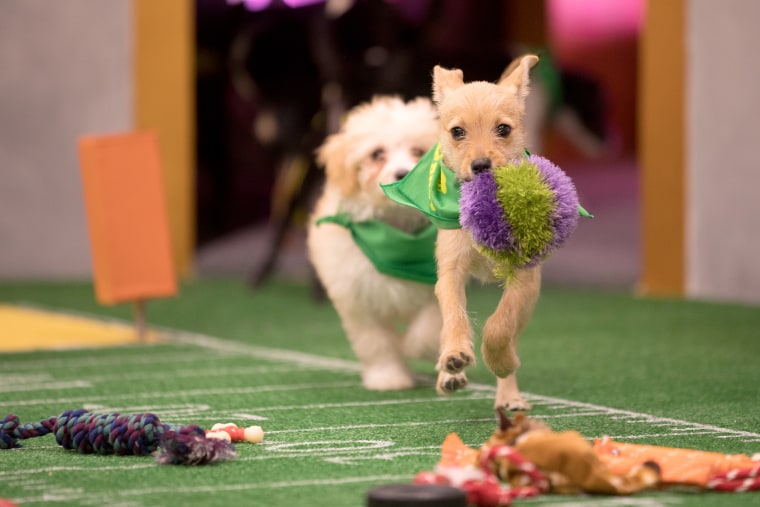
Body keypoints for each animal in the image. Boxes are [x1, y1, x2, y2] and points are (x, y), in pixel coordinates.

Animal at [308, 95, 442, 390]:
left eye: (419, 151)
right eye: (377, 154)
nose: (402, 174)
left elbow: (428, 329)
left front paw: (412, 347)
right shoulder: (359, 297)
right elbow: (376, 342)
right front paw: (388, 377)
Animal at [430, 56, 544, 412]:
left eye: (503, 129)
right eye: (457, 131)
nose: (480, 165)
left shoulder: (524, 277)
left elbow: (499, 325)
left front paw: (500, 362)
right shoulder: (450, 271)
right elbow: (454, 316)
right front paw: (454, 355)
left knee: (512, 334)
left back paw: (509, 394)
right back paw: (449, 372)